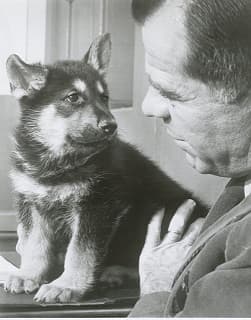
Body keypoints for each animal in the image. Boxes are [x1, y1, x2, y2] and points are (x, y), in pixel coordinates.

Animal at [4, 33, 206, 304]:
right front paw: (28, 275)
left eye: (104, 97)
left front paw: (66, 285)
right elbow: (35, 244)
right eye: (73, 97)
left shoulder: (97, 207)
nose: (111, 126)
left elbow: (79, 252)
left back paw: (115, 273)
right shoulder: (32, 203)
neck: (58, 163)